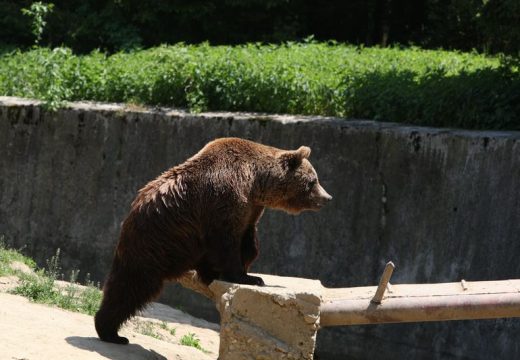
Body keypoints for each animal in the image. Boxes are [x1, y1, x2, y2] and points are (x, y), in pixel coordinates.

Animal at [95, 137, 332, 344]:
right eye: (313, 181)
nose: (327, 198)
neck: (256, 183)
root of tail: (129, 214)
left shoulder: (251, 209)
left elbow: (249, 242)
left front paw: (243, 269)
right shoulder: (225, 197)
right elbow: (227, 242)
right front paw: (249, 278)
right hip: (154, 243)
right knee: (132, 286)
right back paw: (110, 332)